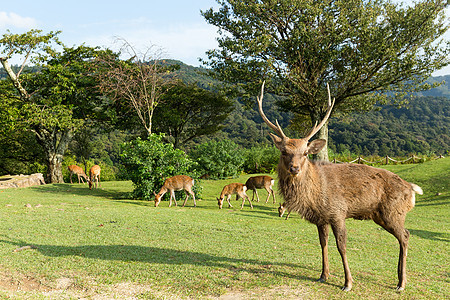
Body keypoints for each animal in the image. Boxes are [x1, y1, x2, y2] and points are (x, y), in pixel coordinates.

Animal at [256, 81, 422, 290]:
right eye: (284, 151)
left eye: (305, 153)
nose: (294, 168)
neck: (315, 195)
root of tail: (412, 189)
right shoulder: (321, 218)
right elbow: (323, 243)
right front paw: (323, 274)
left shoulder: (338, 212)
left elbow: (341, 246)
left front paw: (348, 282)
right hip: (381, 216)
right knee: (403, 236)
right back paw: (400, 279)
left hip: (393, 212)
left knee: (406, 235)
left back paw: (401, 283)